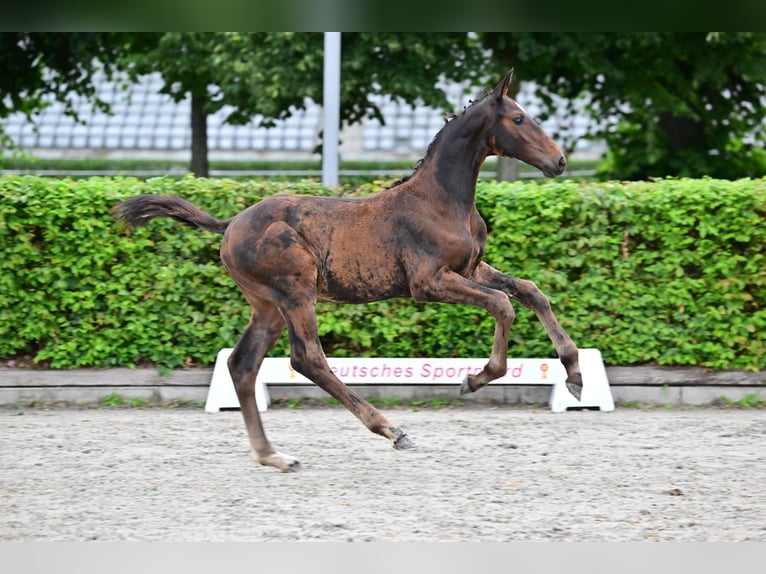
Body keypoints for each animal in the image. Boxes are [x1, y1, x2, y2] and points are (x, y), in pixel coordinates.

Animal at [112, 68, 584, 472]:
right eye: (519, 118)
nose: (560, 161)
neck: (443, 200)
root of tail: (230, 225)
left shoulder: (470, 268)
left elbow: (530, 290)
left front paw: (575, 375)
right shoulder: (428, 282)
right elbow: (503, 304)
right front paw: (474, 379)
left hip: (267, 305)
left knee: (242, 363)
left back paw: (273, 455)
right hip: (296, 292)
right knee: (306, 358)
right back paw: (390, 429)